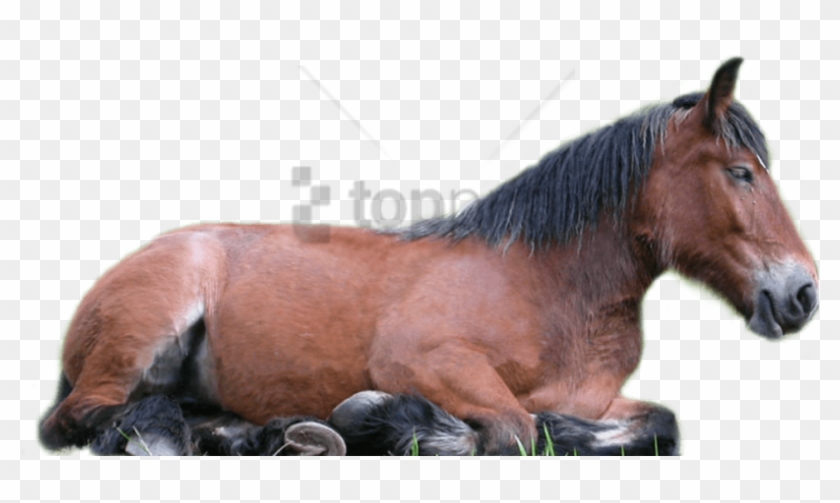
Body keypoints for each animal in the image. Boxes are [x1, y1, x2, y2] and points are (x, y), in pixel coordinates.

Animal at [39, 58, 818, 456]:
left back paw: (264, 432)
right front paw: (399, 423)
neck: (546, 287)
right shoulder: (422, 361)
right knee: (82, 419)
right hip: (144, 330)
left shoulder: (599, 397)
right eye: (741, 173)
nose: (804, 293)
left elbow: (659, 421)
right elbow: (511, 429)